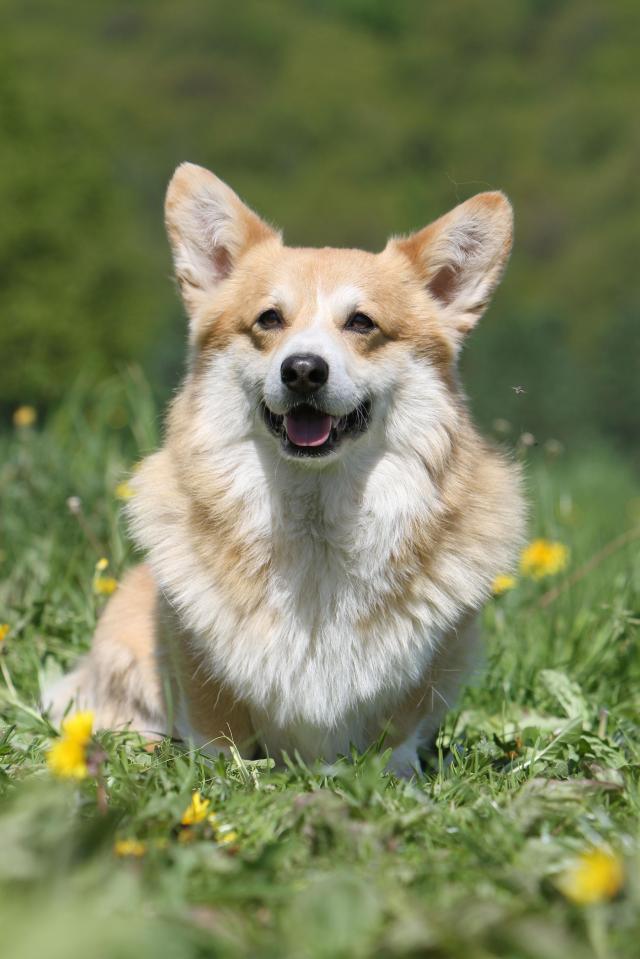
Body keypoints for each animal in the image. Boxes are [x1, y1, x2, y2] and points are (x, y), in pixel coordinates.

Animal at [46, 163, 524, 780]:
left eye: (362, 323)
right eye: (269, 319)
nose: (302, 370)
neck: (315, 512)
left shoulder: (429, 667)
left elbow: (396, 733)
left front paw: (391, 781)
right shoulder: (195, 658)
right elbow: (217, 728)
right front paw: (226, 777)